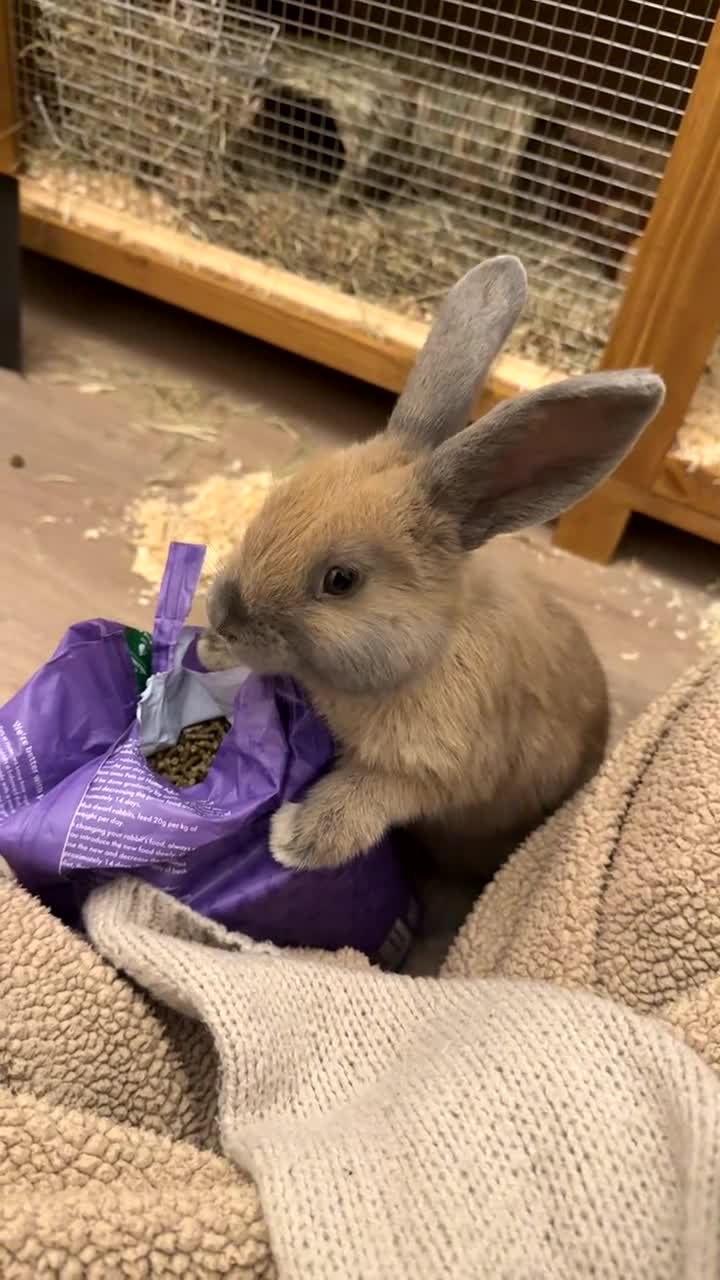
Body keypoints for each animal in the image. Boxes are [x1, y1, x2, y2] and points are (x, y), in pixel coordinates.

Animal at [199, 255, 664, 880]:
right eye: (275, 503)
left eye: (341, 581)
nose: (224, 618)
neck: (432, 644)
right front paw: (207, 651)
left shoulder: (428, 773)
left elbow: (359, 800)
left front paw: (290, 837)